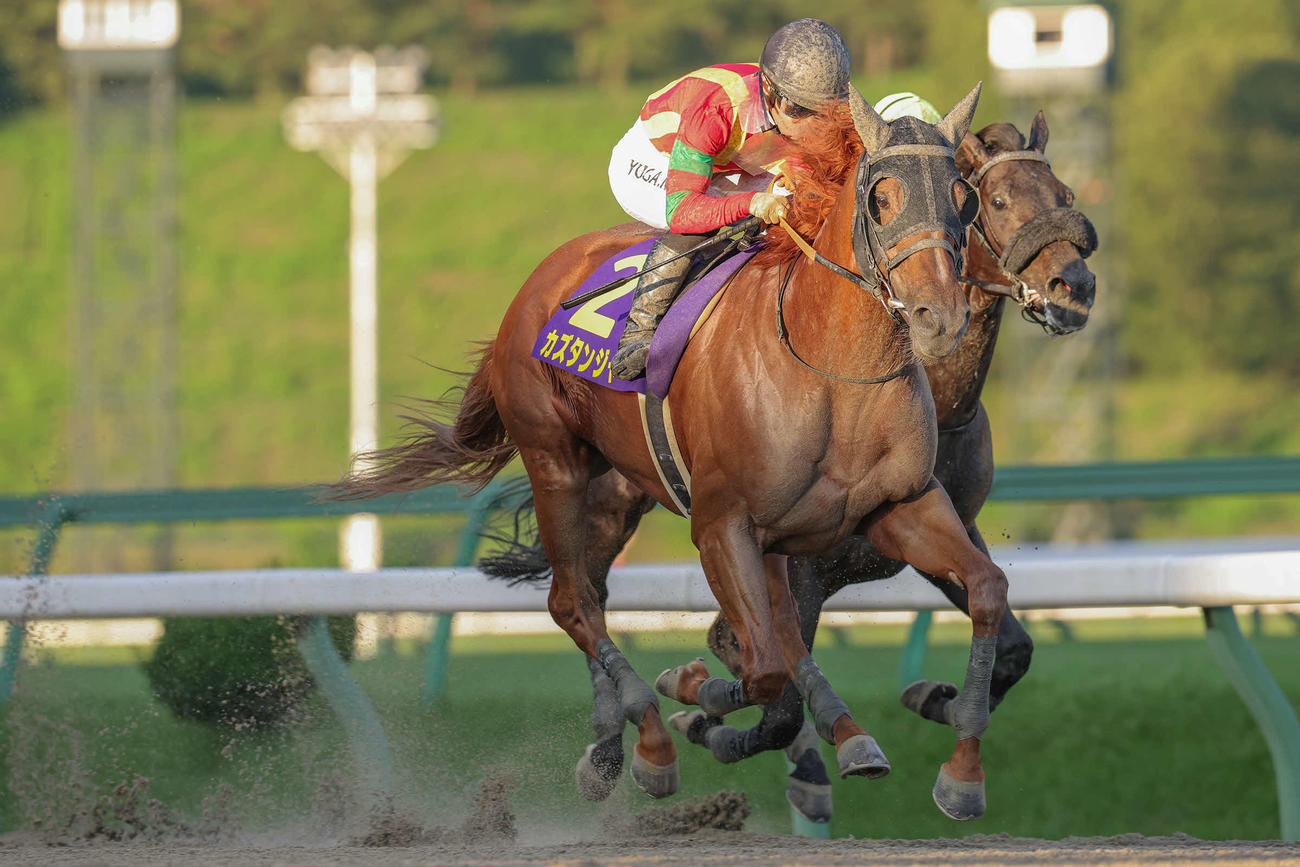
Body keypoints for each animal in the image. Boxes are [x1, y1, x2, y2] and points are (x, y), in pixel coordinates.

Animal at [335, 83, 1009, 820]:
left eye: (964, 198)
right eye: (881, 195)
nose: (939, 318)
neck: (833, 370)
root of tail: (536, 284)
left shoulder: (900, 506)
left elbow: (986, 590)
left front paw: (963, 771)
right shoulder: (721, 524)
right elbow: (762, 669)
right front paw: (689, 692)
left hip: (627, 494)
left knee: (616, 598)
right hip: (555, 461)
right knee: (574, 602)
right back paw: (650, 742)